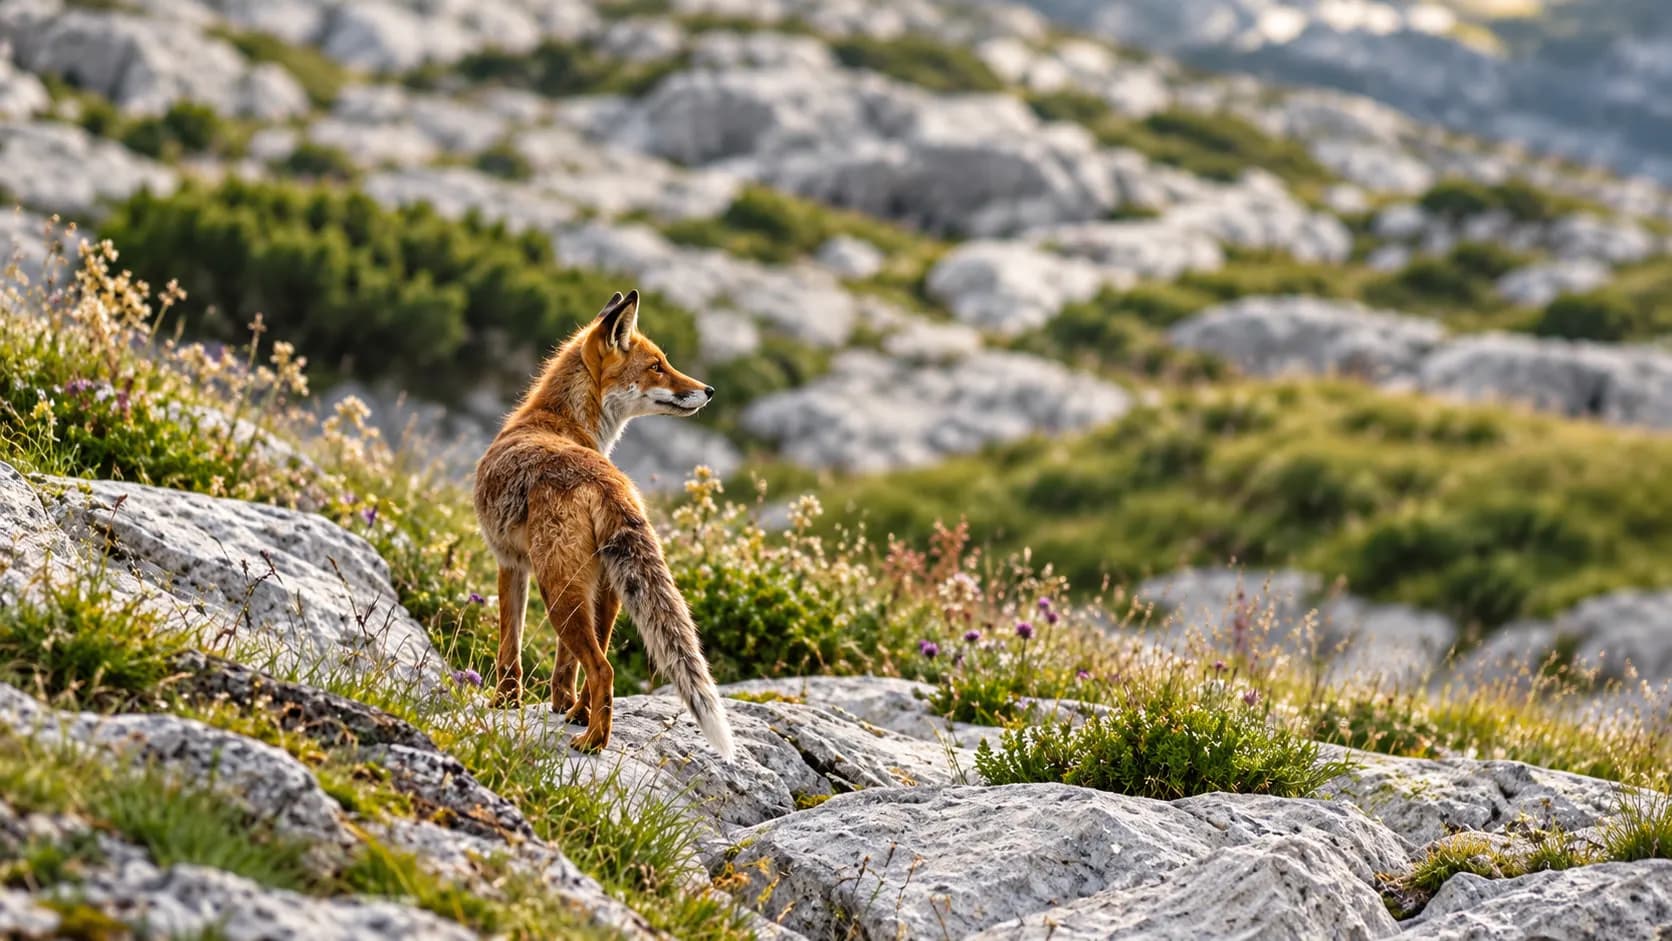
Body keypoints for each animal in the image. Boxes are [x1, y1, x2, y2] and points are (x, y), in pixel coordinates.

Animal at [472, 289, 734, 758]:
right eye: (657, 366)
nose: (707, 390)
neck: (559, 421)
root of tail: (605, 480)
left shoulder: (509, 564)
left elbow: (509, 647)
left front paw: (504, 701)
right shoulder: (568, 577)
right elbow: (563, 665)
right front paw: (563, 707)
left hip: (557, 588)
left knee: (603, 668)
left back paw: (594, 741)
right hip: (603, 586)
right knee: (597, 660)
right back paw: (584, 719)